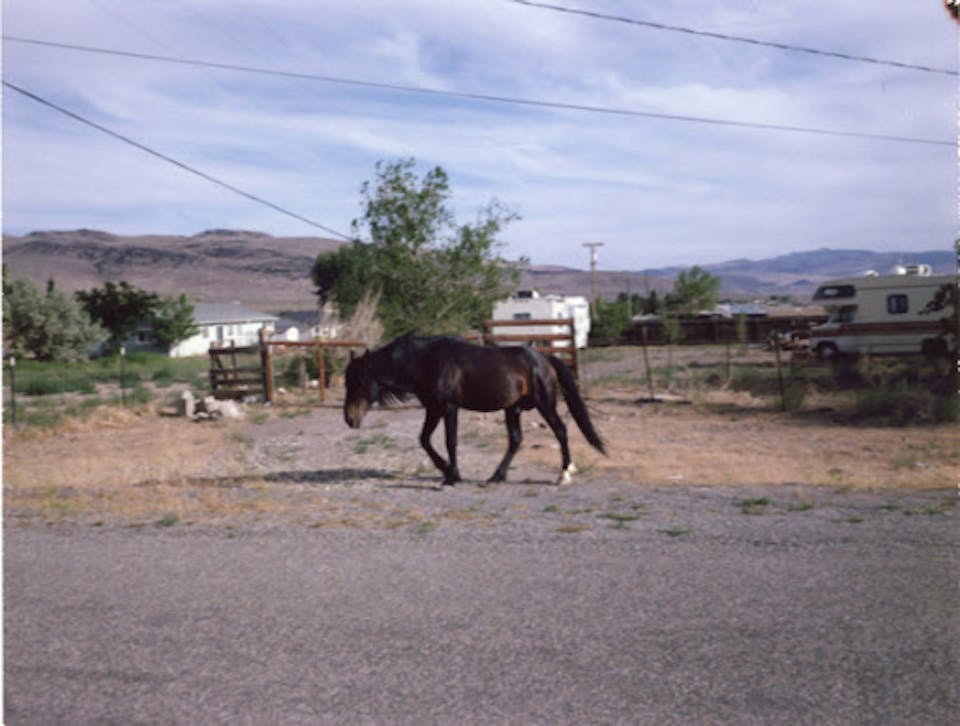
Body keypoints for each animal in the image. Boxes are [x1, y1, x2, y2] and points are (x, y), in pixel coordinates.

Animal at [343, 333, 605, 487]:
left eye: (359, 381)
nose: (349, 419)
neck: (427, 361)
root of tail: (545, 359)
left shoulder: (448, 407)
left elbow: (450, 441)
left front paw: (452, 476)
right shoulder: (434, 408)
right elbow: (425, 439)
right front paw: (447, 471)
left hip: (544, 404)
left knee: (560, 430)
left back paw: (563, 475)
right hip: (512, 409)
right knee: (515, 439)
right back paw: (496, 477)